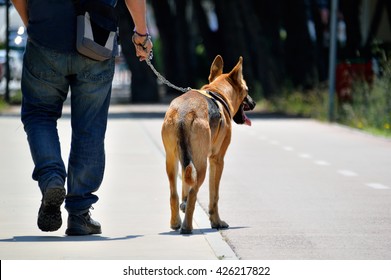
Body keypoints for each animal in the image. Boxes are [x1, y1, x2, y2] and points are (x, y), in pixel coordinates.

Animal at [161, 54, 256, 234]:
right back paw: (187, 227)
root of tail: (183, 113)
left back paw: (176, 222)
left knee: (173, 193)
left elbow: (184, 189)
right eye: (246, 90)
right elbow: (214, 195)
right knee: (193, 193)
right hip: (202, 166)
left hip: (172, 161)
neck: (218, 92)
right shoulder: (217, 160)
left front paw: (184, 206)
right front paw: (216, 222)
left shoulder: (184, 160)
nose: (254, 103)